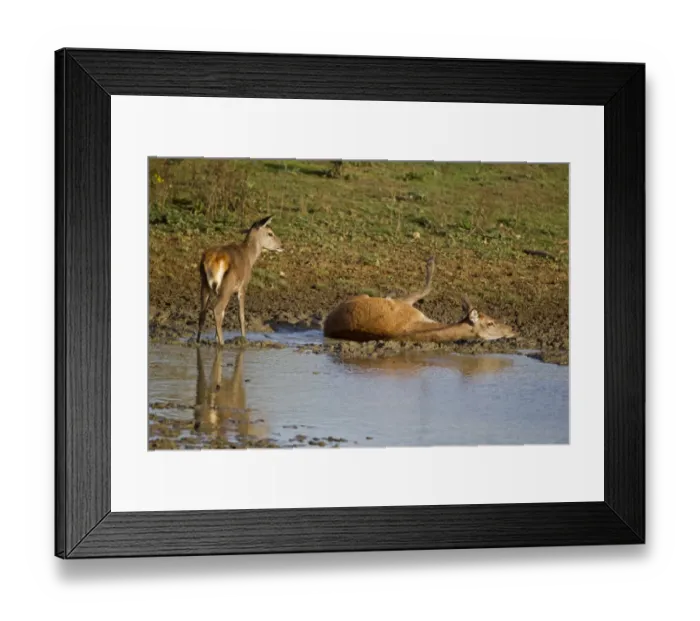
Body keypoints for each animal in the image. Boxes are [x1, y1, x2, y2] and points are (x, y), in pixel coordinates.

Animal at [196, 215, 282, 346]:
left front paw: (215, 338)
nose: (281, 245)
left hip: (205, 285)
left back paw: (198, 341)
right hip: (227, 286)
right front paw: (243, 338)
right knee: (217, 310)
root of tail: (212, 260)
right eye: (270, 233)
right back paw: (222, 343)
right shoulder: (243, 287)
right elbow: (241, 315)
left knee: (203, 313)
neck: (249, 257)